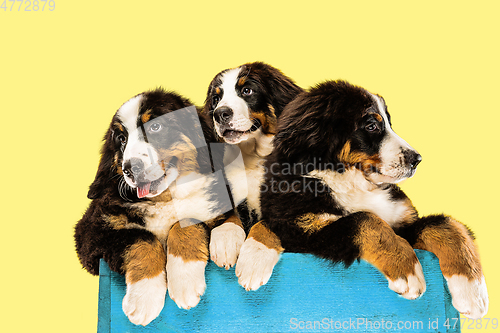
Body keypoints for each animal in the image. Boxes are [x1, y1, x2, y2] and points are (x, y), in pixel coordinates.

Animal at [75, 87, 235, 324]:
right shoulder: (92, 233)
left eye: (156, 127)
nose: (130, 168)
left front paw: (184, 280)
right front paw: (144, 298)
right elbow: (142, 239)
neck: (165, 198)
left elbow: (184, 224)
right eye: (121, 139)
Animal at [201, 61, 302, 270]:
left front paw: (253, 260)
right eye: (216, 98)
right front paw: (225, 239)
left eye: (247, 90)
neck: (250, 159)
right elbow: (230, 215)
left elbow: (264, 224)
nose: (220, 113)